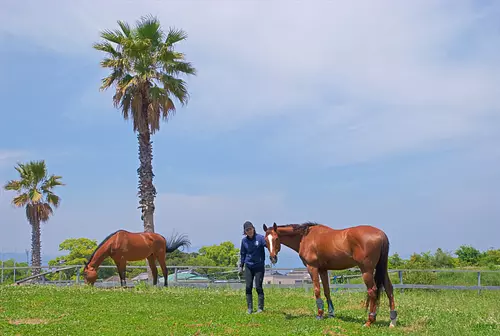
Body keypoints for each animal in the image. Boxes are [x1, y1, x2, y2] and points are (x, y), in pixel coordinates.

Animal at [264, 222, 396, 326]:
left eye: (276, 239)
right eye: (265, 241)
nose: (273, 258)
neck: (305, 237)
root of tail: (381, 235)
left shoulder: (312, 268)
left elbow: (317, 290)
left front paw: (320, 314)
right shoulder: (323, 269)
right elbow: (327, 291)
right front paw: (331, 313)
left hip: (366, 270)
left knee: (372, 291)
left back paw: (370, 320)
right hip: (382, 268)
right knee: (389, 289)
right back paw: (392, 321)